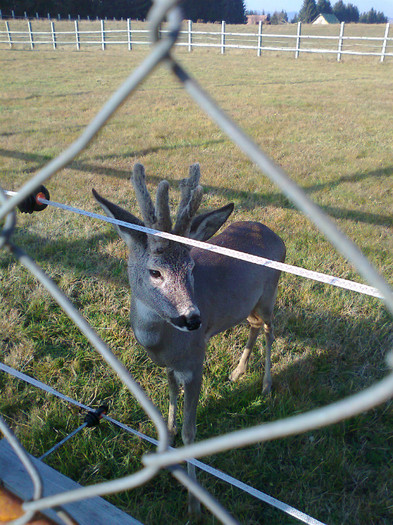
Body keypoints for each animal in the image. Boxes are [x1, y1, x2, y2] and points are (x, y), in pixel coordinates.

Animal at [92, 164, 284, 512]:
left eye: (192, 266)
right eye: (155, 272)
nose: (193, 319)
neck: (163, 343)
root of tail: (274, 234)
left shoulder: (196, 360)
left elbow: (190, 432)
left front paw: (194, 503)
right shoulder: (170, 366)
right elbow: (169, 408)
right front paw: (163, 453)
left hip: (269, 295)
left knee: (269, 330)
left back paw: (265, 385)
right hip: (248, 305)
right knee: (253, 326)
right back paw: (238, 372)